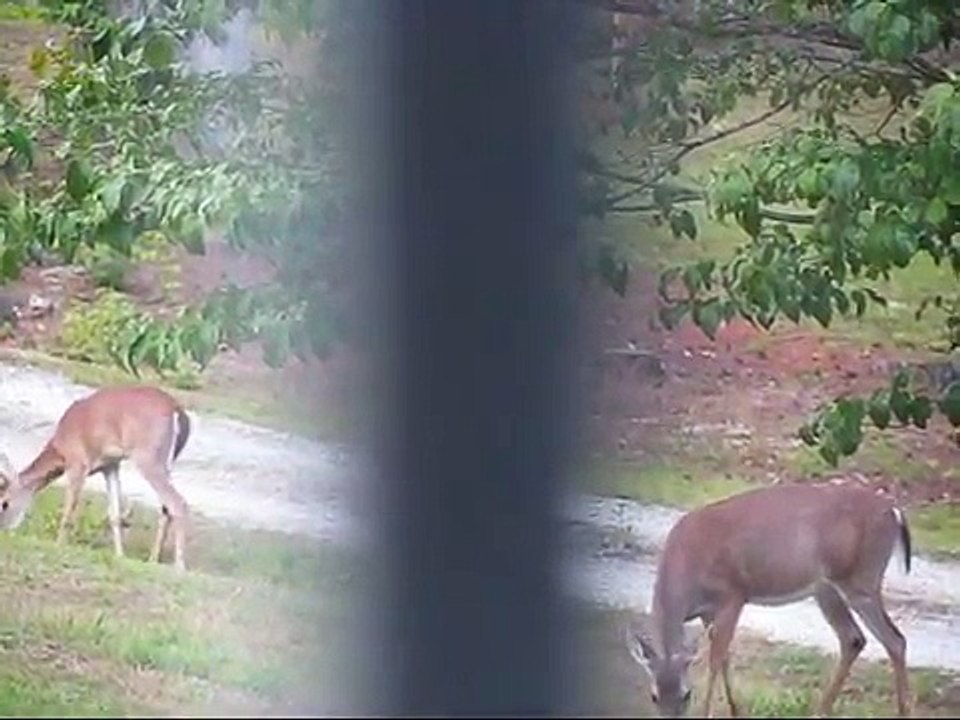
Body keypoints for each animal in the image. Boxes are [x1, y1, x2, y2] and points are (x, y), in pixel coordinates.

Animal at [0, 384, 193, 572]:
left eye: (5, 503)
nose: (4, 529)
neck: (60, 447)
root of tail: (176, 409)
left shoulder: (78, 463)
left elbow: (69, 510)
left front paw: (58, 545)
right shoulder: (110, 465)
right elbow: (114, 513)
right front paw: (119, 555)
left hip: (147, 456)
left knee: (177, 502)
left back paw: (179, 565)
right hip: (166, 462)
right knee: (165, 507)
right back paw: (153, 559)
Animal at [624, 481, 912, 718]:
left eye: (687, 695)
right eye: (654, 696)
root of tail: (893, 510)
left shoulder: (733, 595)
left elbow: (716, 659)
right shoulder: (708, 611)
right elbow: (724, 656)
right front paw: (736, 710)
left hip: (861, 579)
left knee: (895, 639)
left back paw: (901, 711)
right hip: (827, 589)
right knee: (853, 638)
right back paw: (821, 711)